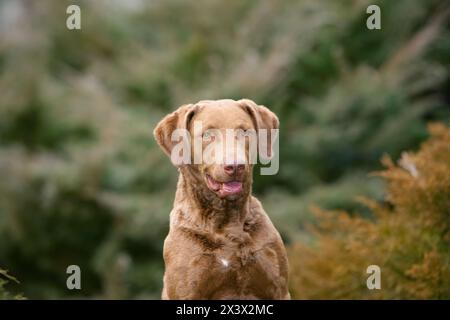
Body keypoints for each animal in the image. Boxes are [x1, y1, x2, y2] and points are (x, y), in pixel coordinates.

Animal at [154, 99, 288, 298]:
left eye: (244, 131)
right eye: (208, 134)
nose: (235, 166)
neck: (227, 222)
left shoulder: (278, 288)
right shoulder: (188, 290)